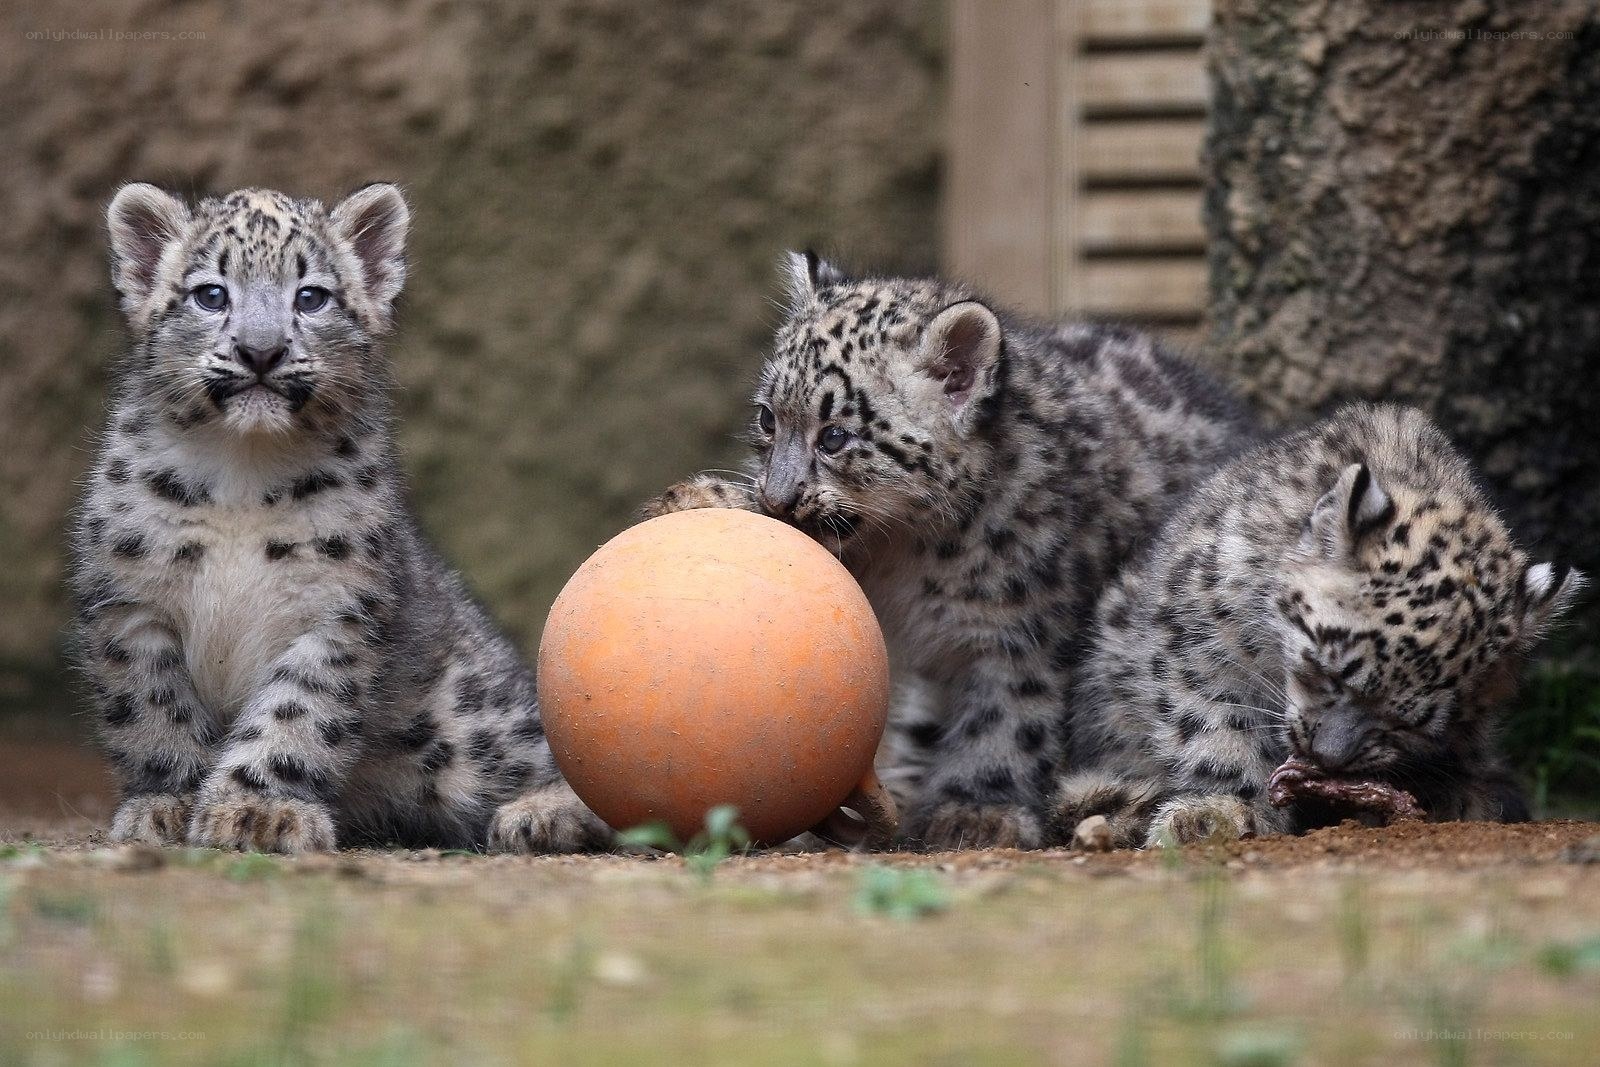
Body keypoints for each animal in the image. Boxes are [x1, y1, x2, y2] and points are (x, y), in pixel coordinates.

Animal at [70, 182, 610, 854]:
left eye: (311, 296)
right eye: (211, 293)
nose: (261, 350)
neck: (242, 471)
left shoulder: (337, 610)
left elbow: (295, 713)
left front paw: (258, 810)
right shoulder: (131, 603)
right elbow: (154, 710)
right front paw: (168, 803)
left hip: (468, 720)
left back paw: (542, 815)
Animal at [644, 252, 1257, 849]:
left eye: (835, 436)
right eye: (768, 417)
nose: (777, 496)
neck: (905, 551)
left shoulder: (1028, 632)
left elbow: (1009, 717)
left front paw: (976, 809)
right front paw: (702, 497)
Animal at [1049, 403, 1584, 850]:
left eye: (1410, 723)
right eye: (1329, 671)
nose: (1328, 757)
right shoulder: (1195, 645)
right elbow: (1215, 730)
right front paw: (1225, 813)